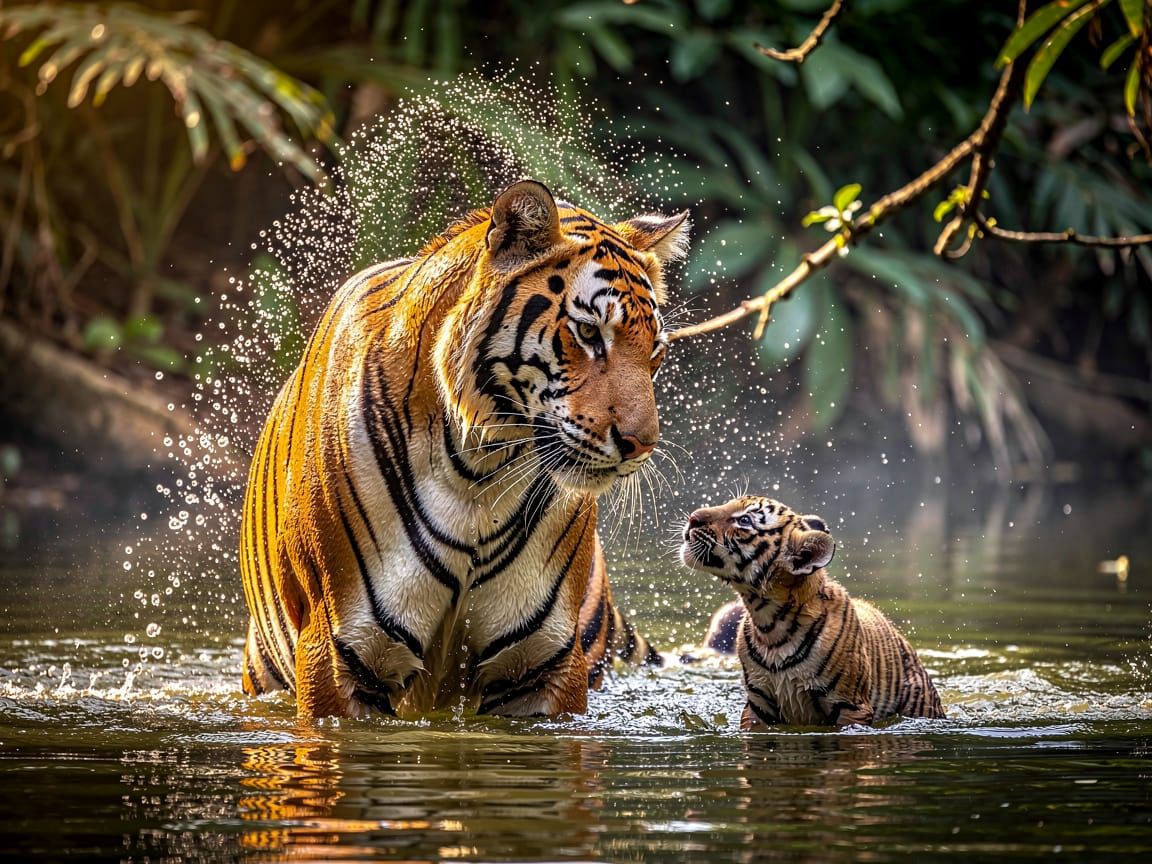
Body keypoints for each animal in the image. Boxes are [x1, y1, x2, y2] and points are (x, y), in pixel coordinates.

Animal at [240, 180, 688, 719]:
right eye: (587, 332)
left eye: (656, 351)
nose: (641, 444)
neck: (479, 469)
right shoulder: (338, 650)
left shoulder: (544, 662)